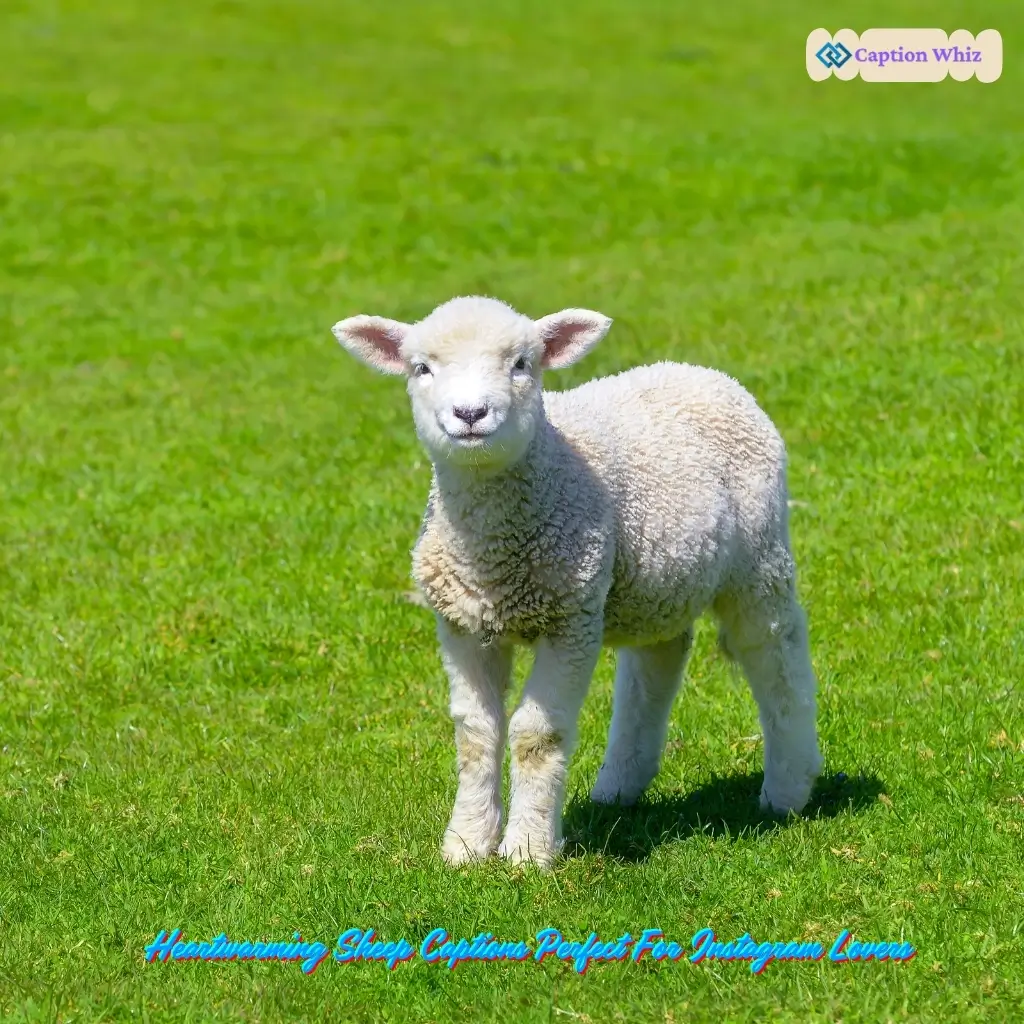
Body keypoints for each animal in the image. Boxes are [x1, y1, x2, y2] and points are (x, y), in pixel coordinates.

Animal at [332, 295, 823, 868]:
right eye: (421, 369)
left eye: (522, 364)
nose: (471, 415)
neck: (496, 554)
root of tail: (700, 371)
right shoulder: (461, 622)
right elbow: (474, 733)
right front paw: (467, 844)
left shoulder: (570, 618)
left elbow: (536, 735)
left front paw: (526, 850)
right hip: (653, 579)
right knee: (657, 660)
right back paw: (620, 784)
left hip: (758, 556)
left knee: (774, 652)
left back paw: (788, 787)